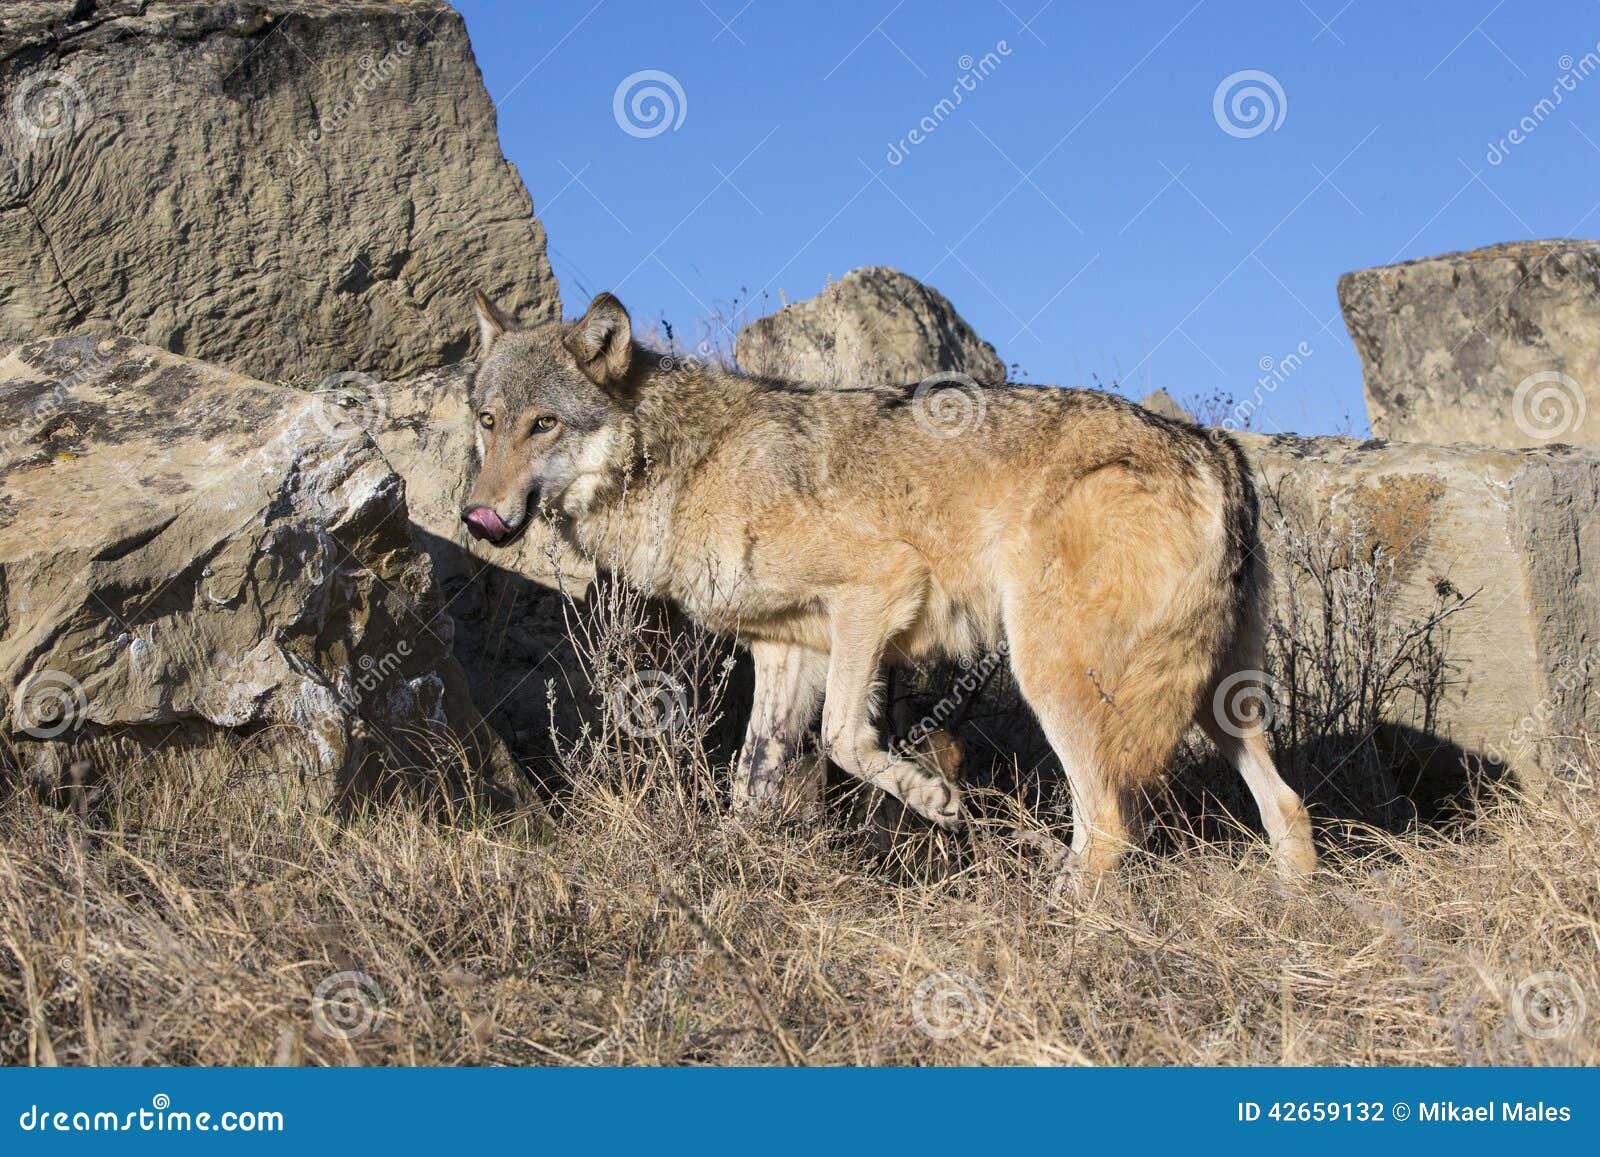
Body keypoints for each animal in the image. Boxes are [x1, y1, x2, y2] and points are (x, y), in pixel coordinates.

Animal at [460, 289, 1312, 876]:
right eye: (488, 422)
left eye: (544, 424)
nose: (476, 515)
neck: (690, 465)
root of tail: (1212, 446)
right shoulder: (788, 650)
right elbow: (750, 783)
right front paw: (735, 866)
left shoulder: (876, 590)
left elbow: (843, 737)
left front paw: (932, 797)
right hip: (1216, 698)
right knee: (1289, 808)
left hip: (1053, 675)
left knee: (1107, 823)